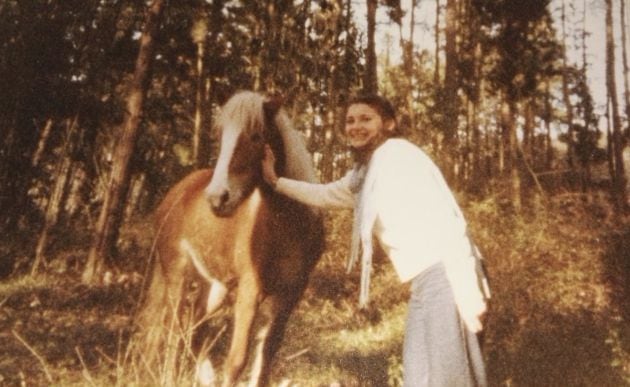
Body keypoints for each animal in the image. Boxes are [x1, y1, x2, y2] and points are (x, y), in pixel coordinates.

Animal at [138, 91, 326, 387]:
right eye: (220, 136)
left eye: (257, 135)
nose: (217, 198)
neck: (289, 223)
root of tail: (176, 192)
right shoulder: (250, 290)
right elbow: (237, 360)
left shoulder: (288, 296)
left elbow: (264, 361)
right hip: (177, 275)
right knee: (172, 329)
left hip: (214, 285)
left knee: (194, 325)